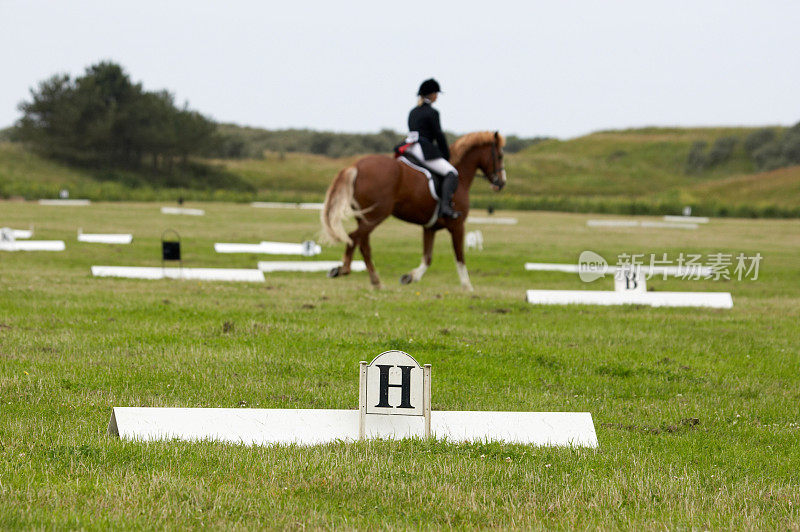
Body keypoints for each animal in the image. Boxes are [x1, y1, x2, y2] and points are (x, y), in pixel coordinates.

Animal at [320, 132, 504, 290]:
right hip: (376, 215)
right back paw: (344, 269)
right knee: (354, 237)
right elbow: (459, 256)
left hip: (366, 217)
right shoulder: (457, 225)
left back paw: (374, 280)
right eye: (500, 156)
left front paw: (410, 277)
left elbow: (428, 257)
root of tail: (355, 165)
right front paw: (467, 287)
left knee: (363, 244)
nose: (501, 183)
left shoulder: (430, 227)